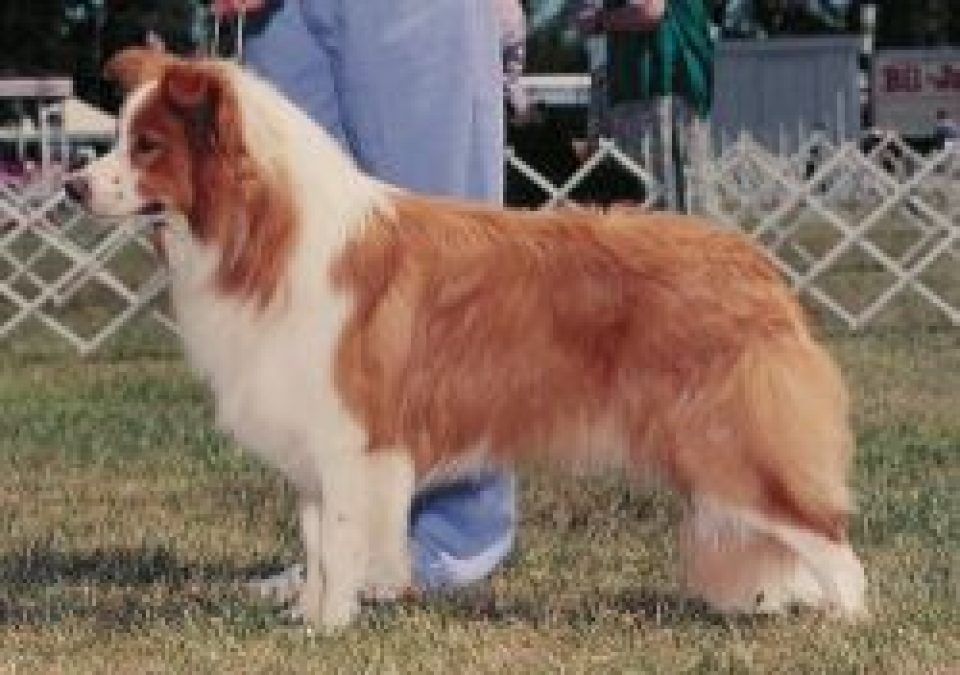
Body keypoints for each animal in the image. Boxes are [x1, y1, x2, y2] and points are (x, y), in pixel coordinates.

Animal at [65, 48, 867, 631]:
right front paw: (307, 614)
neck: (264, 231)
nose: (72, 185)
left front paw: (331, 626)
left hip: (724, 440)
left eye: (148, 146)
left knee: (828, 535)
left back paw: (848, 623)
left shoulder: (353, 438)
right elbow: (318, 540)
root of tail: (756, 267)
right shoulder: (312, 435)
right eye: (115, 138)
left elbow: (344, 537)